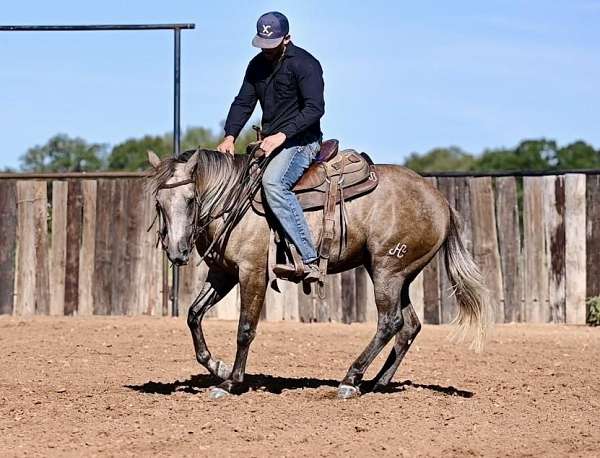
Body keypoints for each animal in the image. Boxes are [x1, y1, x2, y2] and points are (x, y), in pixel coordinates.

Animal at [148, 148, 490, 398]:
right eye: (159, 203)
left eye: (190, 200)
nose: (177, 252)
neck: (233, 200)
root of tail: (441, 201)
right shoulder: (223, 273)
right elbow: (193, 315)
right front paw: (217, 367)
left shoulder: (251, 272)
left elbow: (245, 329)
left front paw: (230, 382)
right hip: (398, 274)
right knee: (409, 326)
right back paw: (376, 383)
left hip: (387, 271)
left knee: (390, 322)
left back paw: (351, 380)